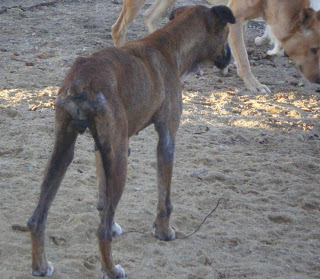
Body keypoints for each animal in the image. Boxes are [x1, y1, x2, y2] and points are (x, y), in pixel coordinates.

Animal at [26, 4, 235, 279]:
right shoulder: (166, 139)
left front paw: (114, 221)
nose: (230, 57)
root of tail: (81, 81)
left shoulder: (104, 148)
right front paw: (164, 231)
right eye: (227, 32)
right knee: (100, 232)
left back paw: (40, 265)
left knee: (37, 217)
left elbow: (103, 198)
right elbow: (164, 198)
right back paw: (111, 269)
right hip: (119, 165)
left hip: (62, 153)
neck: (168, 46)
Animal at [110, 0, 320, 94]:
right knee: (118, 29)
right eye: (314, 49)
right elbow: (243, 59)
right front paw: (255, 85)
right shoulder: (235, 17)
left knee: (151, 18)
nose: (318, 80)